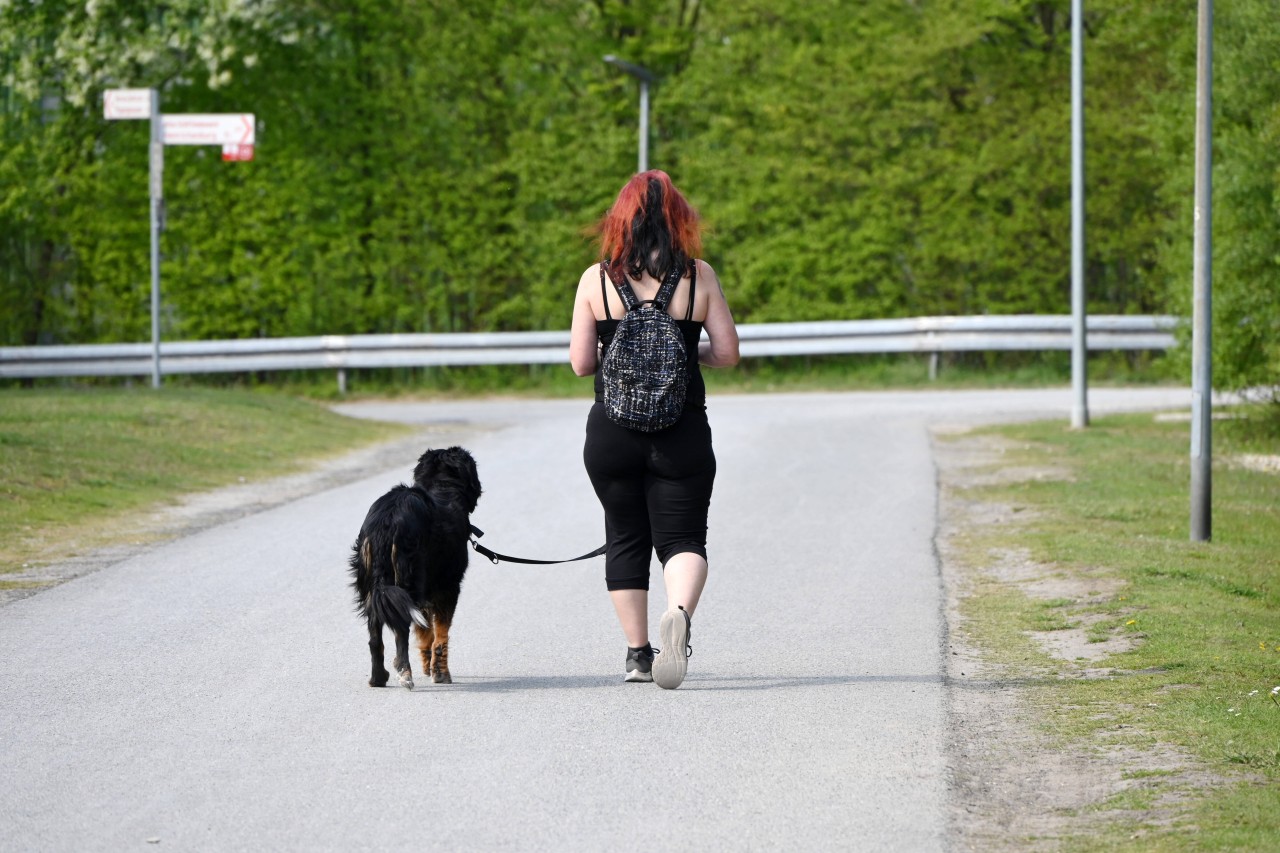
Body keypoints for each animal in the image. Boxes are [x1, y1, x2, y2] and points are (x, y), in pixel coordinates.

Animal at [348, 445, 481, 686]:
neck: (443, 488)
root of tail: (387, 518)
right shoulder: (448, 588)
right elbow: (441, 635)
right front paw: (440, 673)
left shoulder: (424, 597)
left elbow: (426, 632)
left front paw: (429, 666)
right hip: (407, 579)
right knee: (401, 632)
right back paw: (404, 672)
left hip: (374, 588)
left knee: (375, 637)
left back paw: (378, 677)